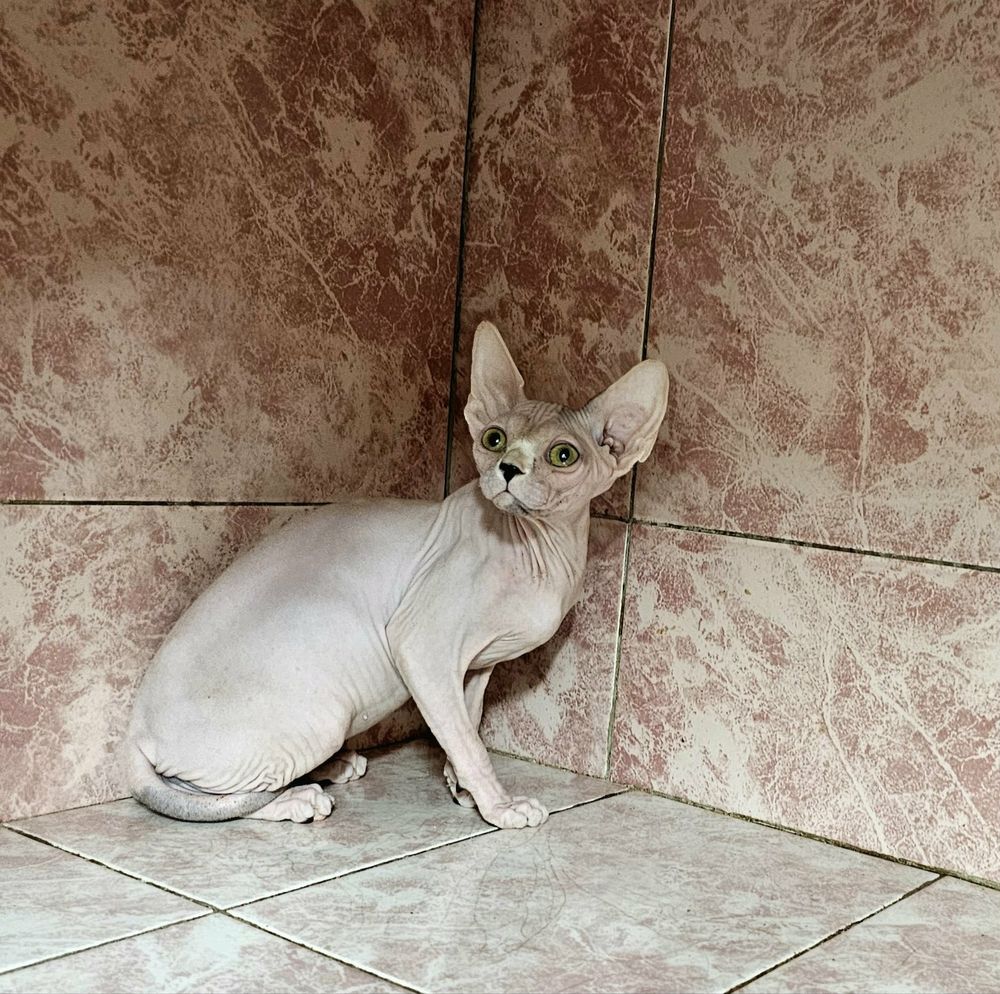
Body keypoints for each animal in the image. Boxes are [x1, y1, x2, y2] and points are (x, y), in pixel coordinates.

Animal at [121, 321, 669, 828]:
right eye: (494, 439)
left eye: (563, 454)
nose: (508, 469)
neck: (540, 549)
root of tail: (134, 731)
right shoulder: (422, 647)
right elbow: (469, 743)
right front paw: (499, 806)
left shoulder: (476, 664)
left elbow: (466, 723)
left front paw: (460, 786)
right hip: (322, 710)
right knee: (215, 800)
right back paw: (299, 796)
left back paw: (333, 767)